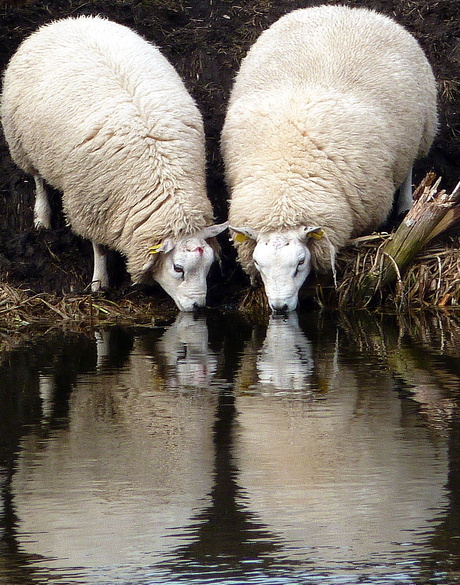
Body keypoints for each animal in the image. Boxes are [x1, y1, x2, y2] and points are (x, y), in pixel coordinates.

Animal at [0, 14, 227, 310]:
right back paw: (42, 217)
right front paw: (100, 282)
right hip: (23, 143)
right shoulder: (93, 204)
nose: (199, 307)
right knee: (38, 179)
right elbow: (99, 247)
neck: (161, 173)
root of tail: (67, 21)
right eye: (178, 268)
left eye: (209, 266)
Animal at [223, 4, 438, 312]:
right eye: (257, 263)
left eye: (300, 263)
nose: (279, 307)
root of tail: (349, 10)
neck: (287, 177)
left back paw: (407, 206)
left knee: (408, 167)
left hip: (422, 127)